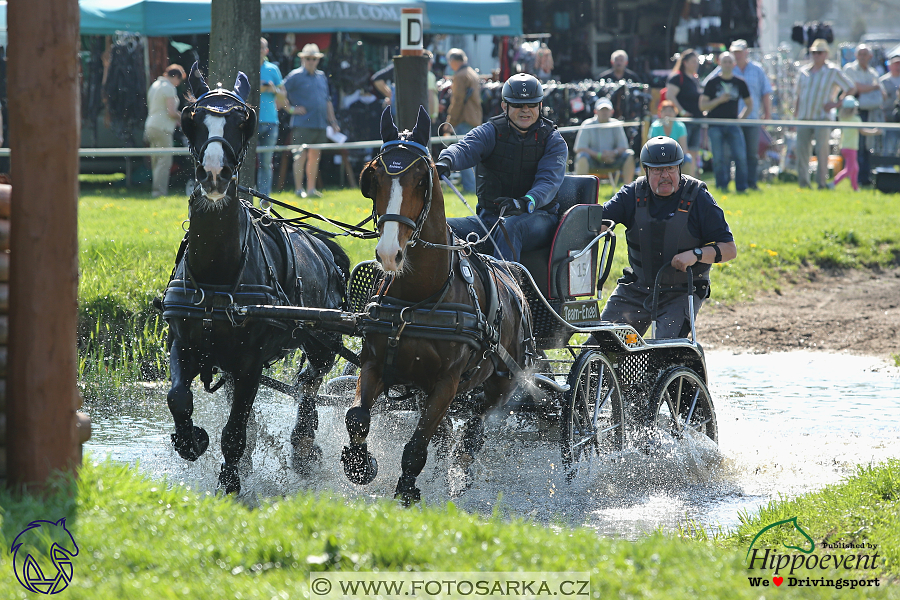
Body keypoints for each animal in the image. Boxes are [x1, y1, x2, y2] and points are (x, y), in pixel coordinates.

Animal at [160, 65, 350, 494]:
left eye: (242, 120)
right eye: (192, 118)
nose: (214, 173)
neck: (217, 274)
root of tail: (324, 246)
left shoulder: (250, 362)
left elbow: (235, 430)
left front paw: (231, 483)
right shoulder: (185, 343)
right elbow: (178, 397)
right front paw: (191, 441)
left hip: (322, 342)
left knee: (310, 381)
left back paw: (304, 444)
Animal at [340, 105, 536, 504]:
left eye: (421, 179)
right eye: (375, 177)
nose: (389, 252)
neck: (416, 301)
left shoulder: (446, 382)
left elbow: (416, 446)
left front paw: (407, 491)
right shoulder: (375, 364)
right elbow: (358, 417)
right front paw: (360, 465)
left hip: (500, 383)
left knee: (473, 432)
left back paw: (461, 479)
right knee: (447, 434)